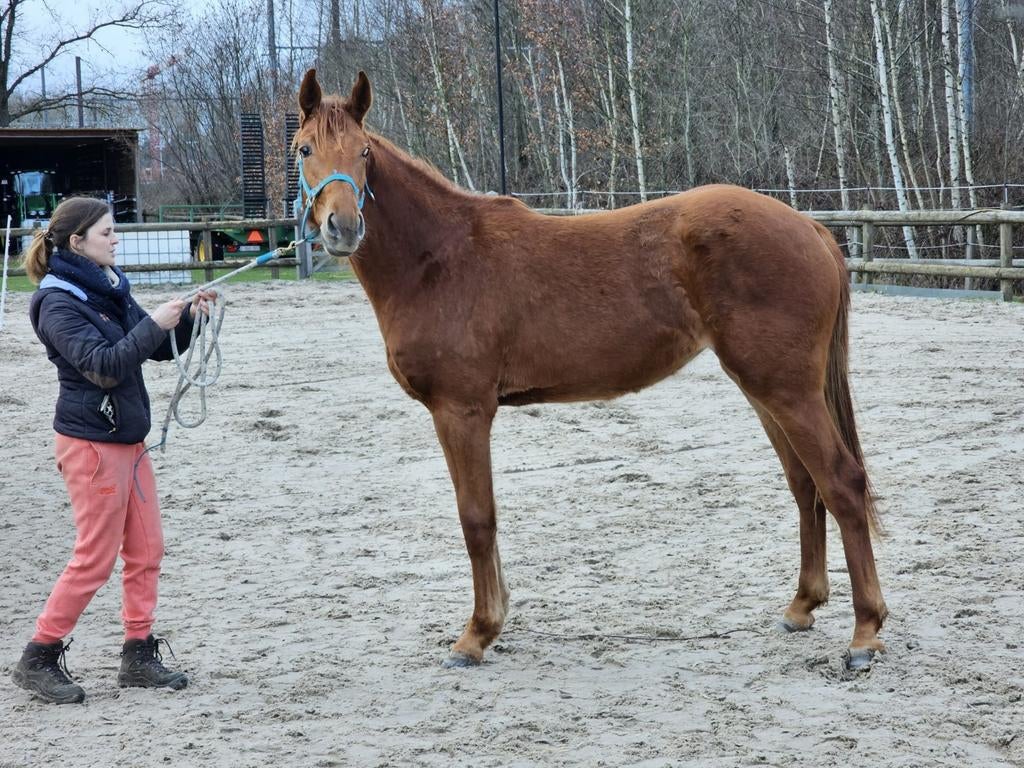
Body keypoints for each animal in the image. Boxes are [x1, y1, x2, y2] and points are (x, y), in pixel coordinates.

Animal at [293, 68, 888, 672]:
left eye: (364, 152)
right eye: (304, 149)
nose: (343, 228)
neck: (439, 259)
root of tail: (810, 228)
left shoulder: (461, 411)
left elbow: (476, 519)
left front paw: (476, 635)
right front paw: (494, 620)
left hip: (787, 391)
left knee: (841, 483)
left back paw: (864, 634)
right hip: (766, 391)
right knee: (805, 485)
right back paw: (801, 606)